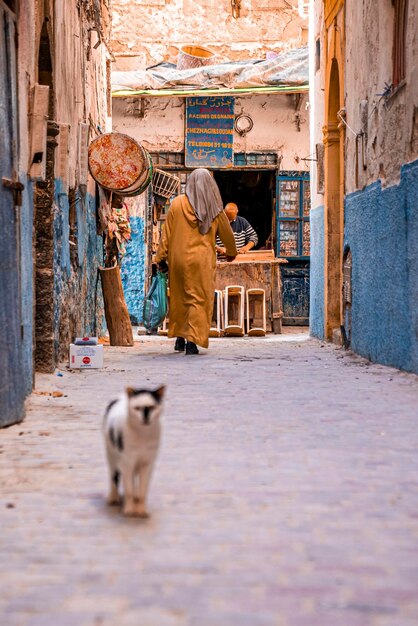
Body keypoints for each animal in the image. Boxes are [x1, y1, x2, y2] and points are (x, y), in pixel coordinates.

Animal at [103, 386, 165, 516]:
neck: (143, 435)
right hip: (111, 454)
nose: (145, 416)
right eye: (137, 408)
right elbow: (128, 489)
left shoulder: (148, 463)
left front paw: (141, 510)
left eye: (152, 407)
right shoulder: (127, 462)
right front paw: (129, 510)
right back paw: (114, 497)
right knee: (113, 476)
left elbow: (143, 490)